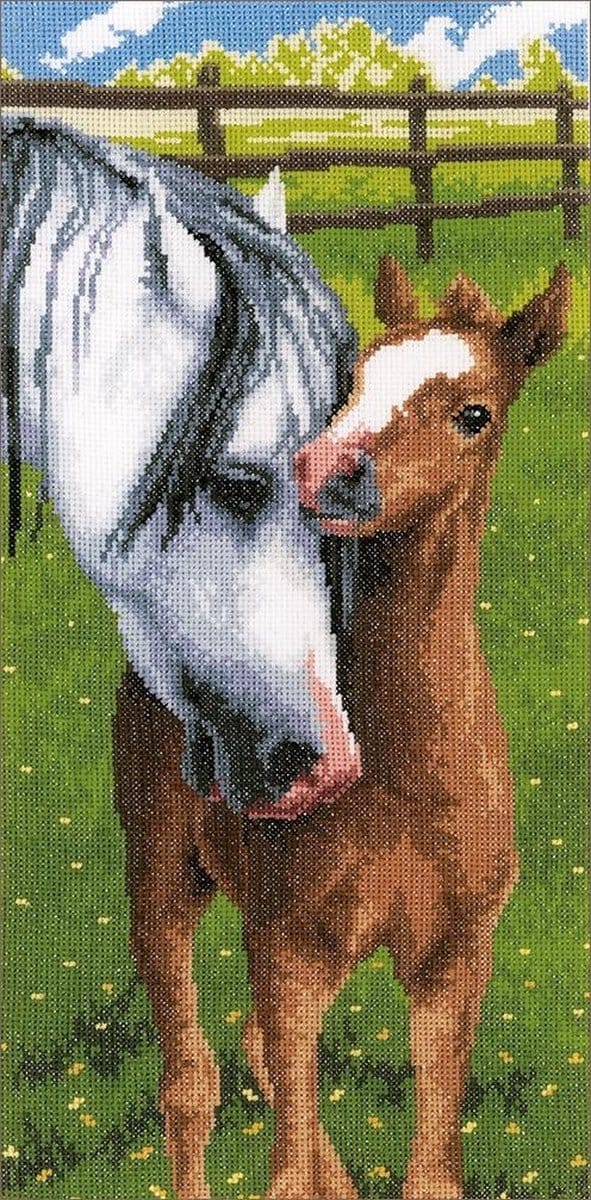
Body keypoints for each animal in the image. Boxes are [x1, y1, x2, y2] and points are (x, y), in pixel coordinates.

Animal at [292, 256, 570, 1200]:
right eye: (350, 379)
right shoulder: (301, 934)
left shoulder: (457, 946)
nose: (327, 471)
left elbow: (435, 1151)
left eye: (473, 413)